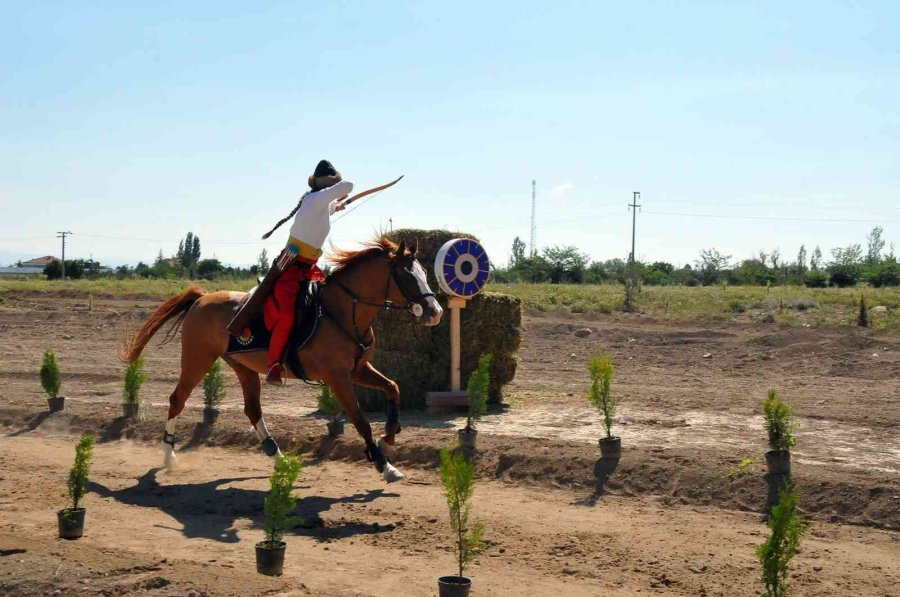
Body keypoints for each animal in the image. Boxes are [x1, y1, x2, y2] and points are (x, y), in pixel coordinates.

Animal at [119, 235, 442, 482]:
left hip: (243, 367)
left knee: (252, 410)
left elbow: (393, 388)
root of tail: (202, 298)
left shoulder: (358, 369)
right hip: (197, 360)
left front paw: (389, 440)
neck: (342, 312)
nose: (435, 312)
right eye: (406, 275)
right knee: (177, 400)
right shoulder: (337, 377)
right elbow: (360, 420)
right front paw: (384, 465)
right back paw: (169, 456)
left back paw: (279, 457)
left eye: (425, 273)